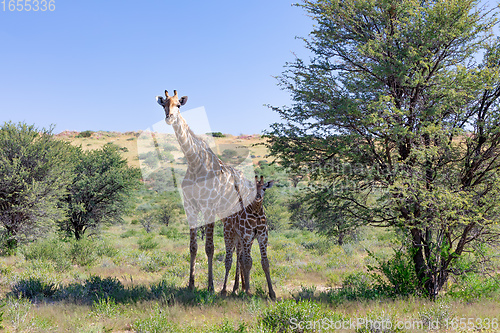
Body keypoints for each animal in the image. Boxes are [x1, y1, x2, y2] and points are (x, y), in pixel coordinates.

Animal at [156, 89, 256, 290]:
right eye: (164, 105)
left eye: (178, 104)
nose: (169, 117)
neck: (195, 163)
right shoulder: (190, 207)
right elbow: (193, 247)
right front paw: (191, 283)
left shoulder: (209, 207)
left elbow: (209, 247)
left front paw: (210, 286)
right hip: (227, 215)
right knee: (238, 246)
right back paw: (238, 286)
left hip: (237, 214)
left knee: (240, 246)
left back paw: (238, 287)